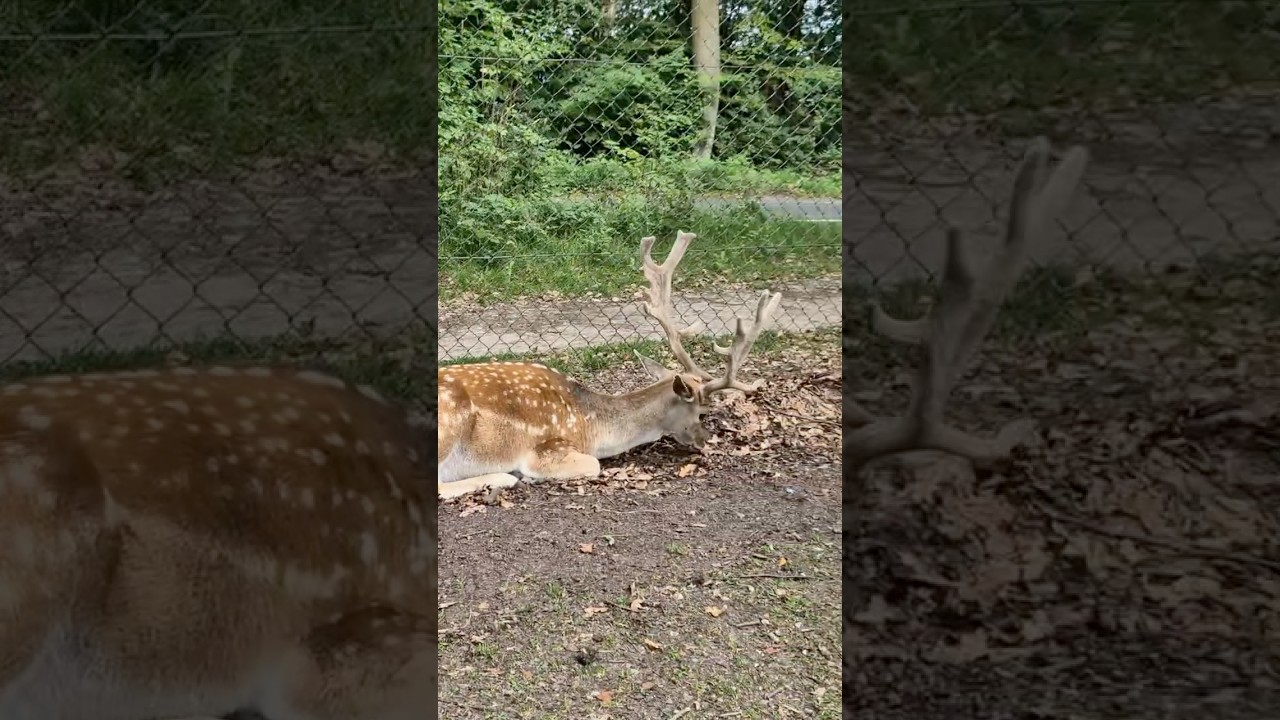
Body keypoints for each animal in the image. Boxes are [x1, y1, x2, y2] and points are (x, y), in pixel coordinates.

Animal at [438, 230, 784, 500]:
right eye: (702, 411)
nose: (705, 440)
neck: (591, 425)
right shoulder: (548, 447)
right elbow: (592, 464)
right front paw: (527, 475)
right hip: (448, 425)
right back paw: (504, 478)